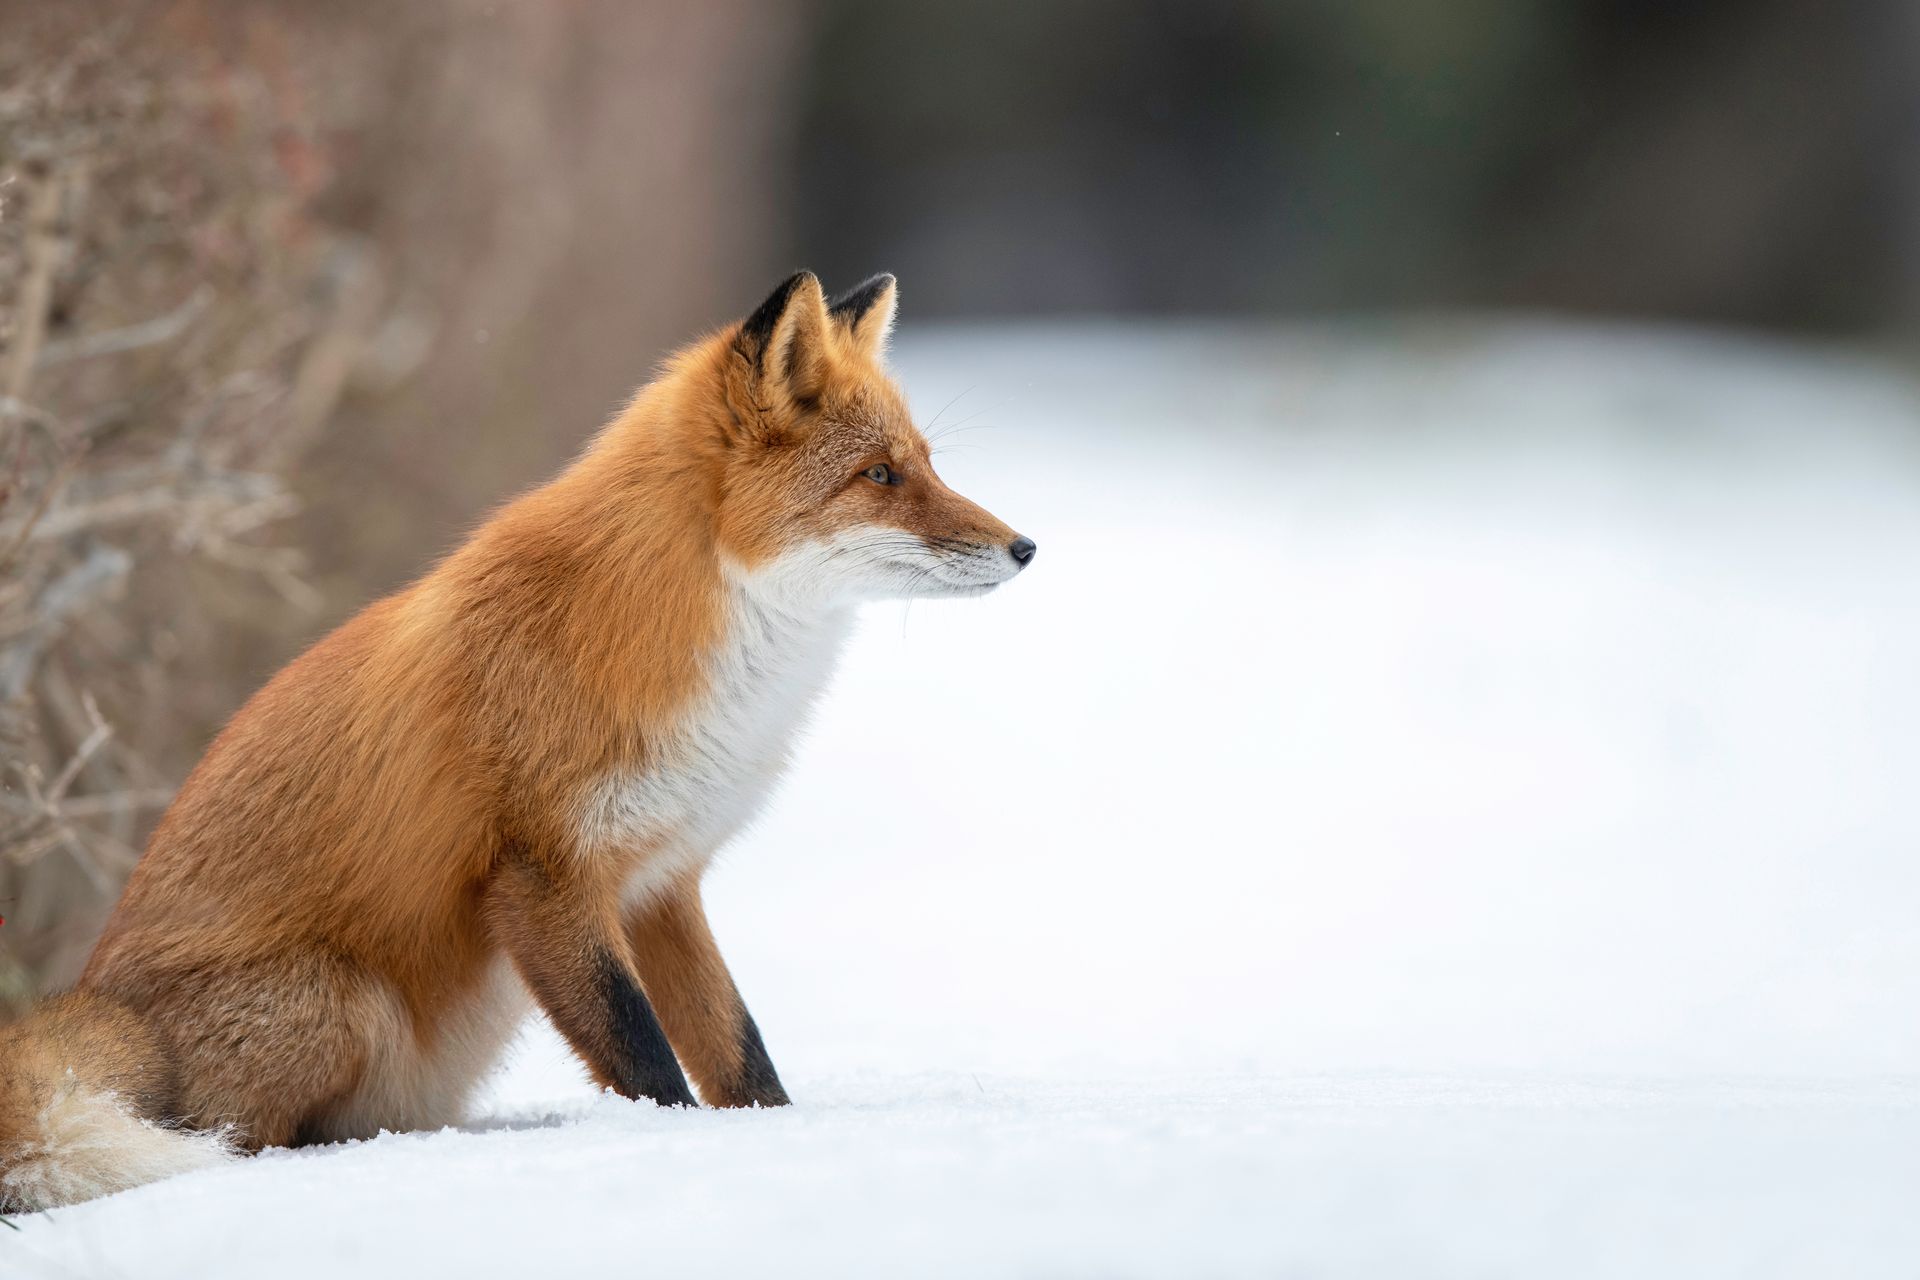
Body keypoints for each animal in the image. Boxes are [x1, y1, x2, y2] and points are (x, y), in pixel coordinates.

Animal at [0, 272, 1036, 1212]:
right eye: (880, 476)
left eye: (928, 463)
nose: (1026, 548)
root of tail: (97, 998)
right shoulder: (539, 874)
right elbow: (645, 1057)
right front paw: (677, 1154)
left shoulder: (663, 879)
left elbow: (739, 1051)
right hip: (344, 1001)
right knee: (230, 1137)